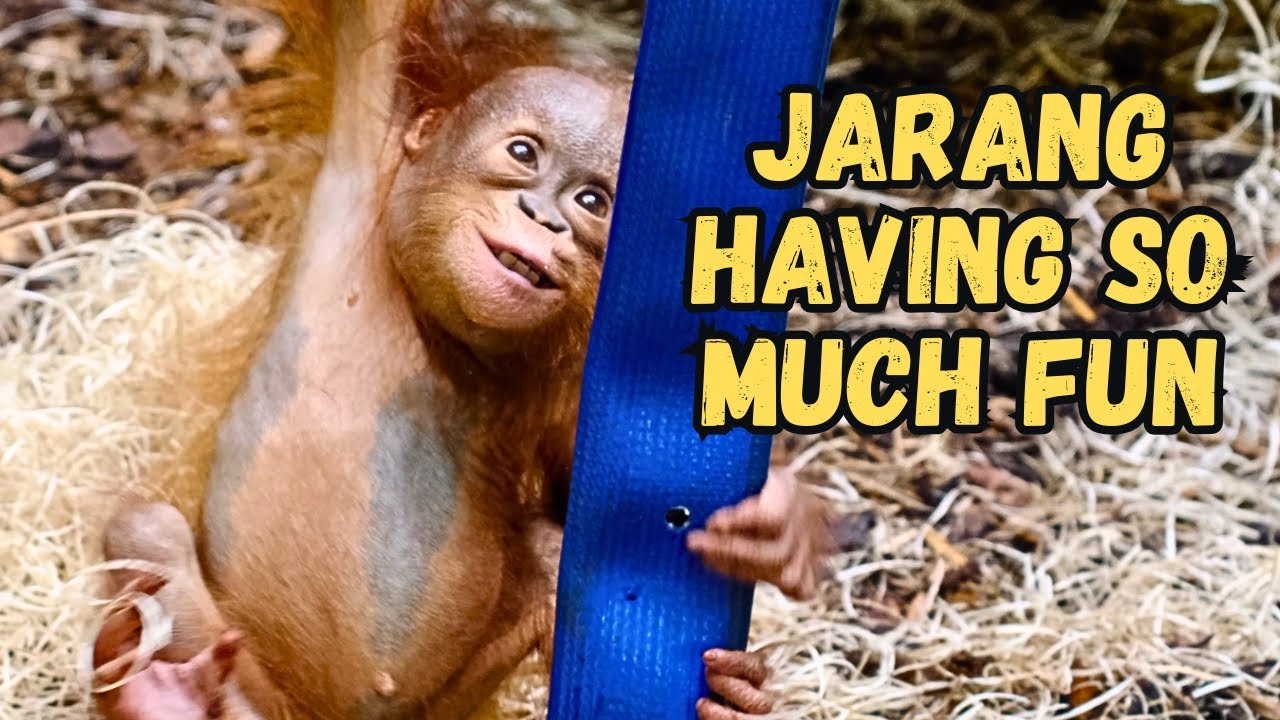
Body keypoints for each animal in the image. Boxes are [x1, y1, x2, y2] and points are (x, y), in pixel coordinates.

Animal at [86, 1, 834, 719]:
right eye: (524, 153)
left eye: (591, 200)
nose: (542, 216)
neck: (435, 324)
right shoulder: (372, 125)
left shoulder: (573, 378)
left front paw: (780, 529)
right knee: (147, 530)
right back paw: (162, 698)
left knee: (550, 560)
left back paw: (732, 695)